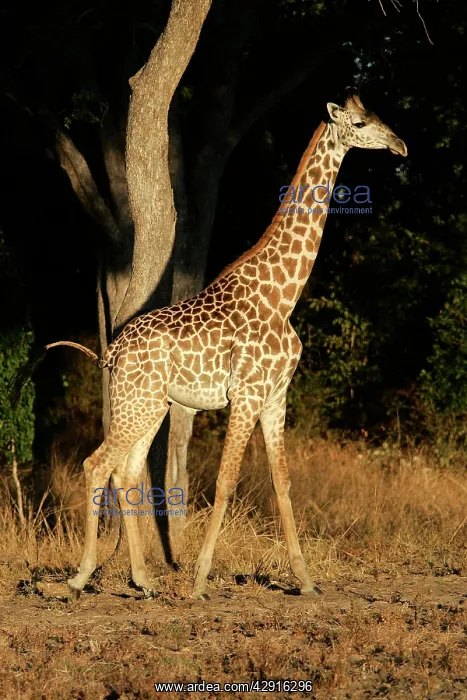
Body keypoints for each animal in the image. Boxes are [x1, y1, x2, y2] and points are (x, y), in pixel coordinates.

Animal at [27, 94, 407, 600]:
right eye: (362, 123)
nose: (400, 144)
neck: (284, 295)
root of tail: (111, 352)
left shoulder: (276, 396)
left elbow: (282, 482)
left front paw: (305, 581)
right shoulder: (245, 395)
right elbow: (226, 481)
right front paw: (201, 580)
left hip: (151, 406)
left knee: (126, 471)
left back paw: (143, 579)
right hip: (138, 404)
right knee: (95, 464)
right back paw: (81, 575)